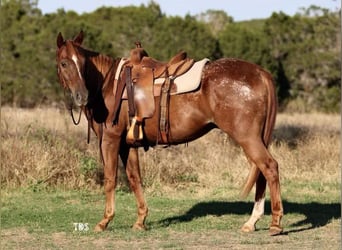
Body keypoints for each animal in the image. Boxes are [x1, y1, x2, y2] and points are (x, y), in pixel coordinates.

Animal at [54, 30, 284, 235]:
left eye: (83, 63)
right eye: (64, 63)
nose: (81, 96)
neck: (108, 84)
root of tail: (260, 73)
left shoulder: (111, 140)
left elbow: (110, 179)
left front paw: (104, 221)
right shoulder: (128, 144)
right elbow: (134, 178)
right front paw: (140, 220)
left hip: (248, 138)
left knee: (270, 167)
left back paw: (275, 223)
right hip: (257, 139)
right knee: (262, 172)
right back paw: (252, 222)